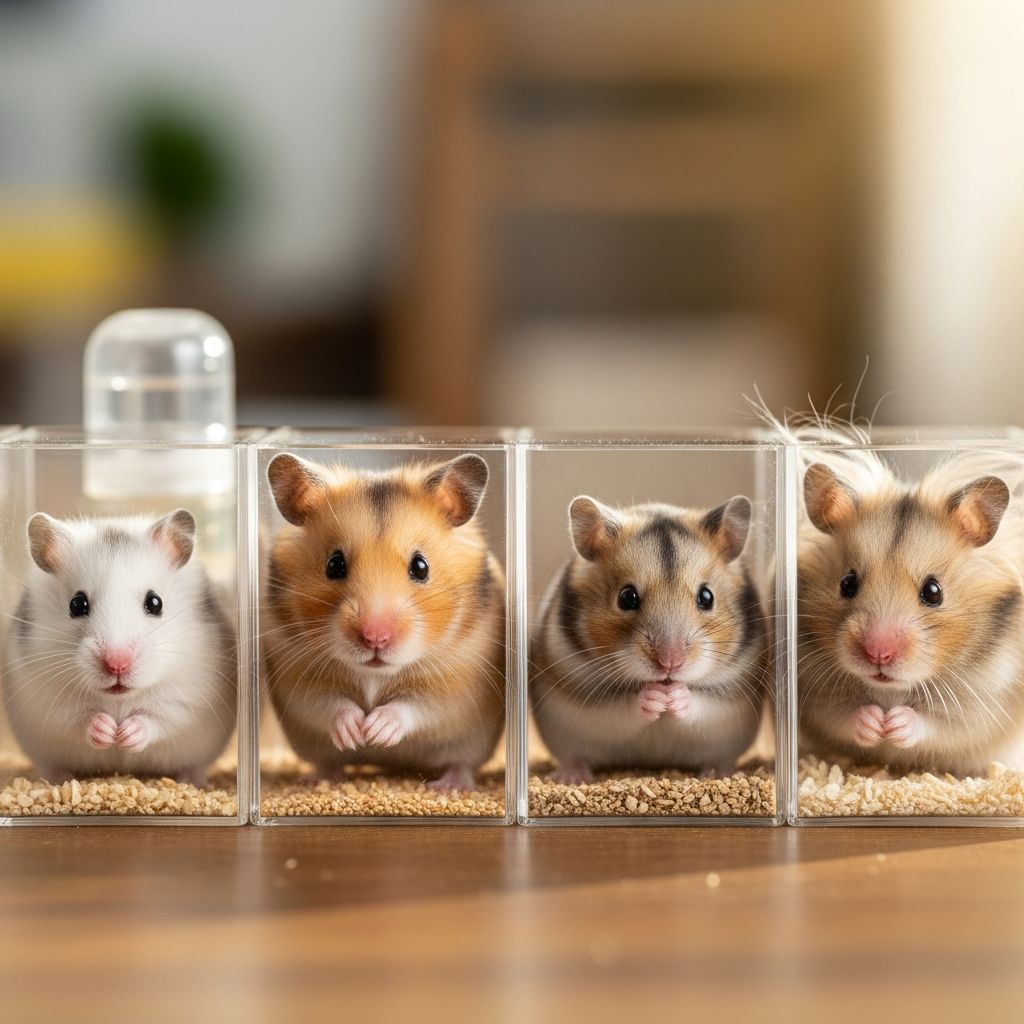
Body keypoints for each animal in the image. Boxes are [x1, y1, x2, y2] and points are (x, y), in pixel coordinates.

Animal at [2, 510, 237, 786]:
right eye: (77, 604)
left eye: (155, 603)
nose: (117, 664)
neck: (119, 699)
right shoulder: (48, 701)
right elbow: (77, 718)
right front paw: (108, 732)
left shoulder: (186, 700)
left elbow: (158, 718)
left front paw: (125, 735)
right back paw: (58, 778)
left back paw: (191, 781)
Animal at [263, 452, 505, 791]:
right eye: (334, 564)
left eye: (421, 566)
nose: (375, 638)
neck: (375, 674)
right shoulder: (298, 679)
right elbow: (328, 703)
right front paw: (357, 732)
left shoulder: (457, 685)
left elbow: (416, 706)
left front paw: (376, 730)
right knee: (327, 761)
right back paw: (316, 779)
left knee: (461, 764)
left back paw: (450, 786)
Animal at [531, 495, 768, 783]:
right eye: (626, 597)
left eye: (706, 597)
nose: (670, 663)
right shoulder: (588, 697)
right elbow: (622, 707)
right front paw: (655, 697)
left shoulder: (729, 697)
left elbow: (700, 704)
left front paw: (673, 697)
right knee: (575, 758)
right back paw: (571, 778)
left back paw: (716, 774)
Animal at [796, 444, 1024, 777]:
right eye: (847, 583)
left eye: (933, 592)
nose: (878, 654)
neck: (890, 692)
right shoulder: (814, 695)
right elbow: (842, 716)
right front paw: (876, 723)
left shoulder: (985, 705)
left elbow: (939, 726)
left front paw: (894, 724)